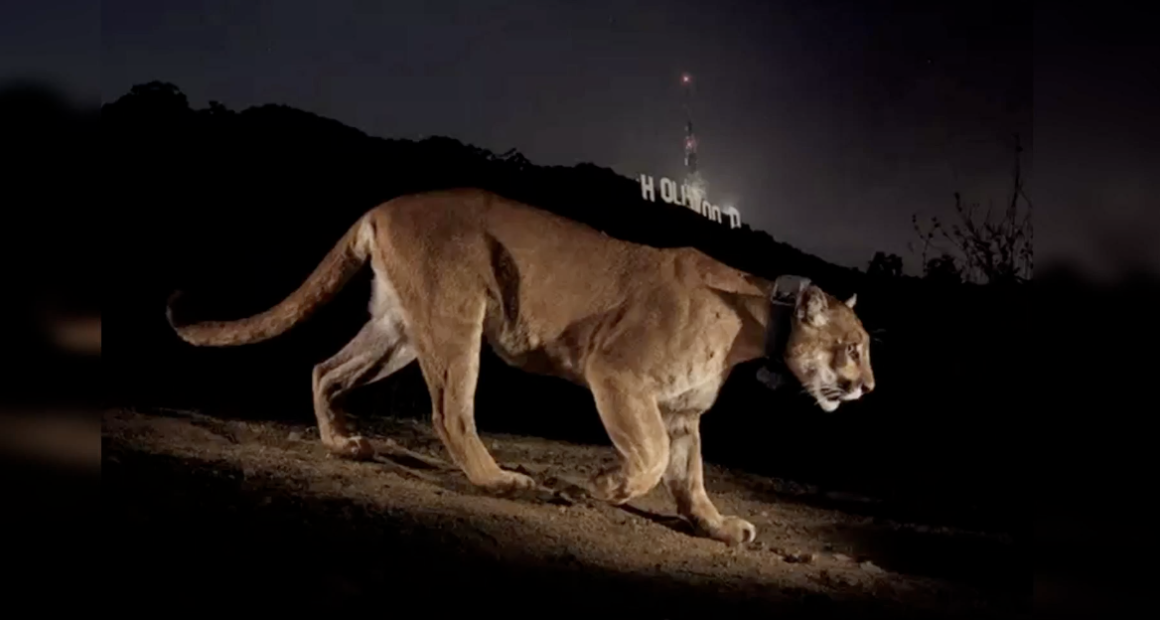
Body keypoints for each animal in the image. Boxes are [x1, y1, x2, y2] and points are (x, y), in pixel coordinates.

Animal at [166, 188, 875, 546]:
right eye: (854, 347)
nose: (869, 385)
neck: (755, 321)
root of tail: (384, 206)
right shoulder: (617, 374)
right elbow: (648, 460)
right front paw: (602, 485)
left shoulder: (681, 412)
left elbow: (690, 479)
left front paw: (719, 526)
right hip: (457, 317)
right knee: (451, 412)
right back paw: (507, 482)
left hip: (398, 329)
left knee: (324, 368)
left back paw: (344, 443)